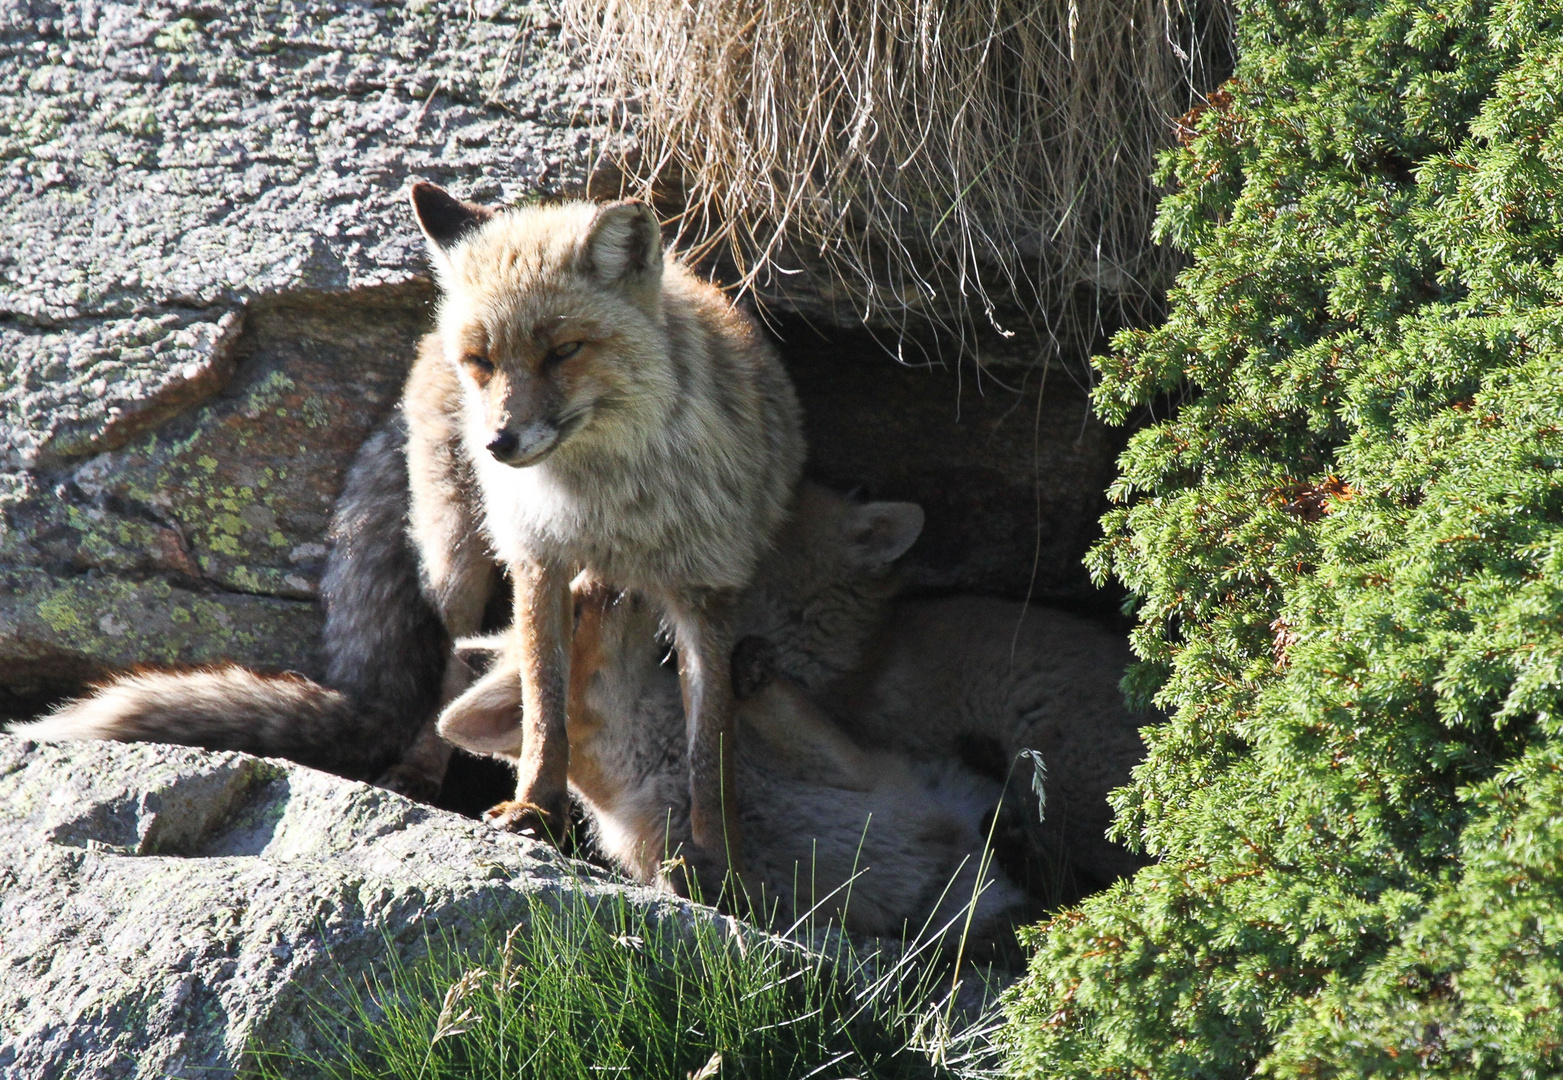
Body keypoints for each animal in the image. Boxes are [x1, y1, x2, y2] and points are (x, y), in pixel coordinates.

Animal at [403, 181, 806, 875]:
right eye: (482, 361)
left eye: (563, 350)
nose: (498, 444)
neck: (609, 508)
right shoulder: (538, 559)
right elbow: (544, 707)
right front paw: (535, 810)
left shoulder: (706, 588)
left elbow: (711, 748)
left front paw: (719, 861)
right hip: (458, 559)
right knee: (451, 666)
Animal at [440, 584, 1031, 944]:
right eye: (577, 609)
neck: (666, 766)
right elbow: (726, 889)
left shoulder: (869, 776)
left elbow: (789, 716)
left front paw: (748, 671)